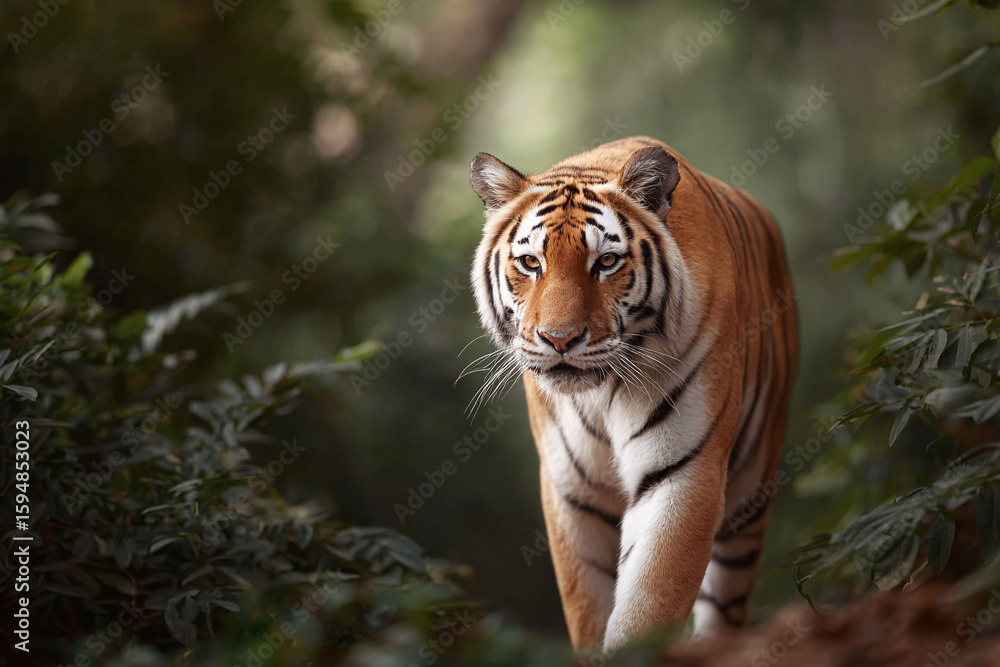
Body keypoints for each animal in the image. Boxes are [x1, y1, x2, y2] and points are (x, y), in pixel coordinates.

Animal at [467, 136, 798, 651]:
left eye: (606, 262)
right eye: (531, 262)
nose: (560, 339)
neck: (601, 393)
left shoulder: (683, 472)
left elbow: (648, 604)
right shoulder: (571, 490)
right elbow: (588, 608)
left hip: (750, 499)